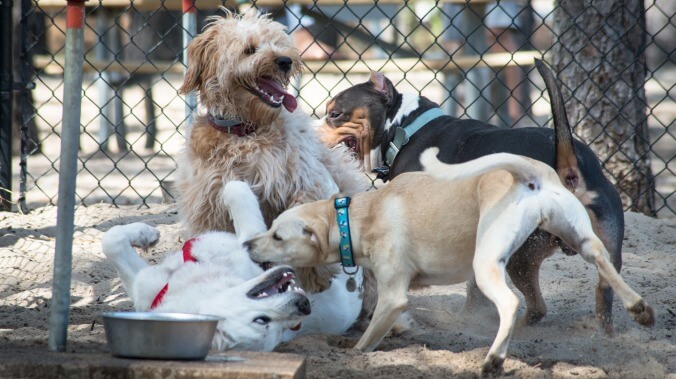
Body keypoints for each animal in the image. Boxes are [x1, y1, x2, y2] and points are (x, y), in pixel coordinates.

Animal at [173, 10, 364, 292]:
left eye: (278, 43)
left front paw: (314, 276)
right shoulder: (208, 206)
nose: (285, 60)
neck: (245, 132)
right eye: (249, 50)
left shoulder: (306, 182)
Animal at [246, 148, 652, 374]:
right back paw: (639, 308)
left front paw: (353, 356)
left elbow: (366, 342)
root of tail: (529, 174)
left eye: (277, 235)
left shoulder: (393, 297)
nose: (248, 243)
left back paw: (493, 359)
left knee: (510, 304)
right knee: (604, 264)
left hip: (487, 264)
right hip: (581, 238)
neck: (353, 218)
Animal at [320, 60, 624, 336]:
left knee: (538, 307)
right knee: (599, 293)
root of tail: (566, 168)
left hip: (521, 254)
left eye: (334, 114)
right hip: (605, 248)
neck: (404, 128)